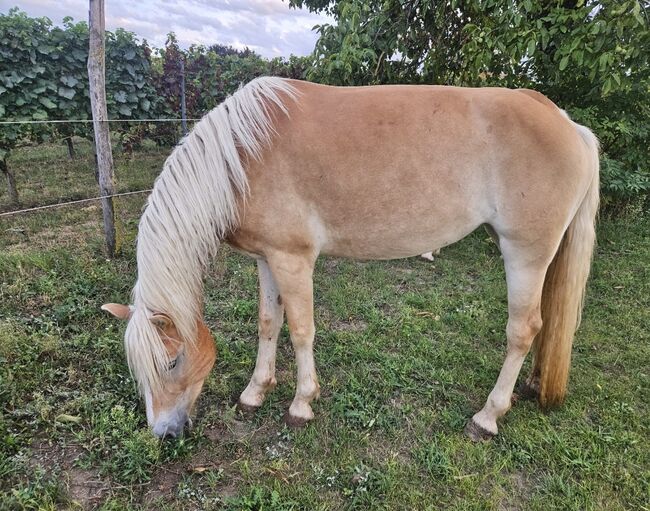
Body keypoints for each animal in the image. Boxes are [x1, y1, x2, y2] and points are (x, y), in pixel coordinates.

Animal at [101, 76, 596, 440]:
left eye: (170, 362)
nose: (164, 433)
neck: (243, 156)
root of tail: (567, 122)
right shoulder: (267, 259)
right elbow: (268, 323)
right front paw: (256, 392)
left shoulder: (294, 260)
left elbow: (301, 330)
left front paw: (301, 404)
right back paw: (531, 386)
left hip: (524, 254)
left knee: (523, 330)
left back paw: (488, 416)